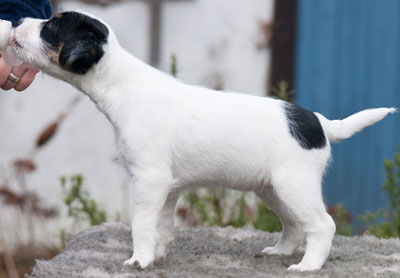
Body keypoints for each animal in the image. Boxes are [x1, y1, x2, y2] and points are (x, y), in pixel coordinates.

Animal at [12, 11, 396, 272]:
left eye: (50, 27)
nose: (17, 22)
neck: (122, 82)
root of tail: (319, 123)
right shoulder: (167, 187)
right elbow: (162, 226)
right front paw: (158, 255)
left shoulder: (149, 179)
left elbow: (141, 223)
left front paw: (139, 260)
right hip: (273, 189)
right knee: (294, 223)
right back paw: (280, 251)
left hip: (294, 185)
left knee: (321, 225)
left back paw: (308, 266)